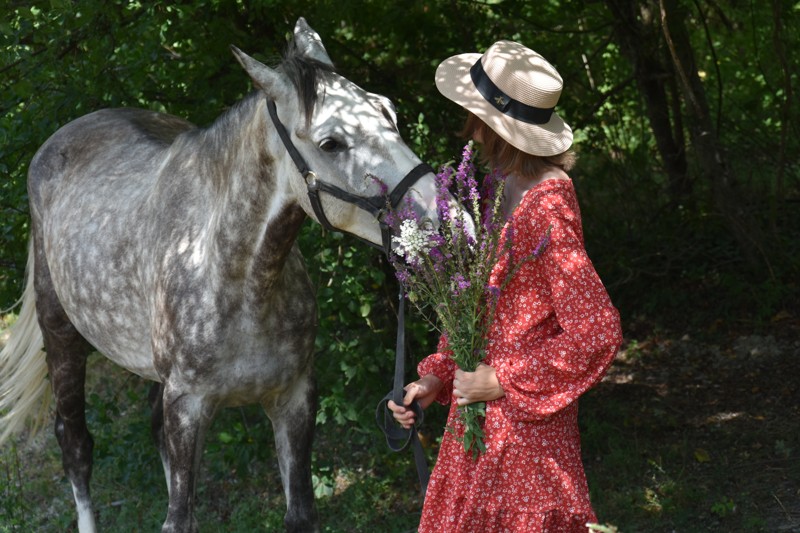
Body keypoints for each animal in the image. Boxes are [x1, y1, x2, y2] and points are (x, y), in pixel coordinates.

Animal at [0, 18, 456, 528]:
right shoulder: (187, 406)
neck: (241, 282)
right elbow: (177, 517)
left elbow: (298, 513)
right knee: (75, 443)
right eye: (331, 143)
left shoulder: (294, 400)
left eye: (389, 111)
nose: (452, 220)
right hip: (60, 334)